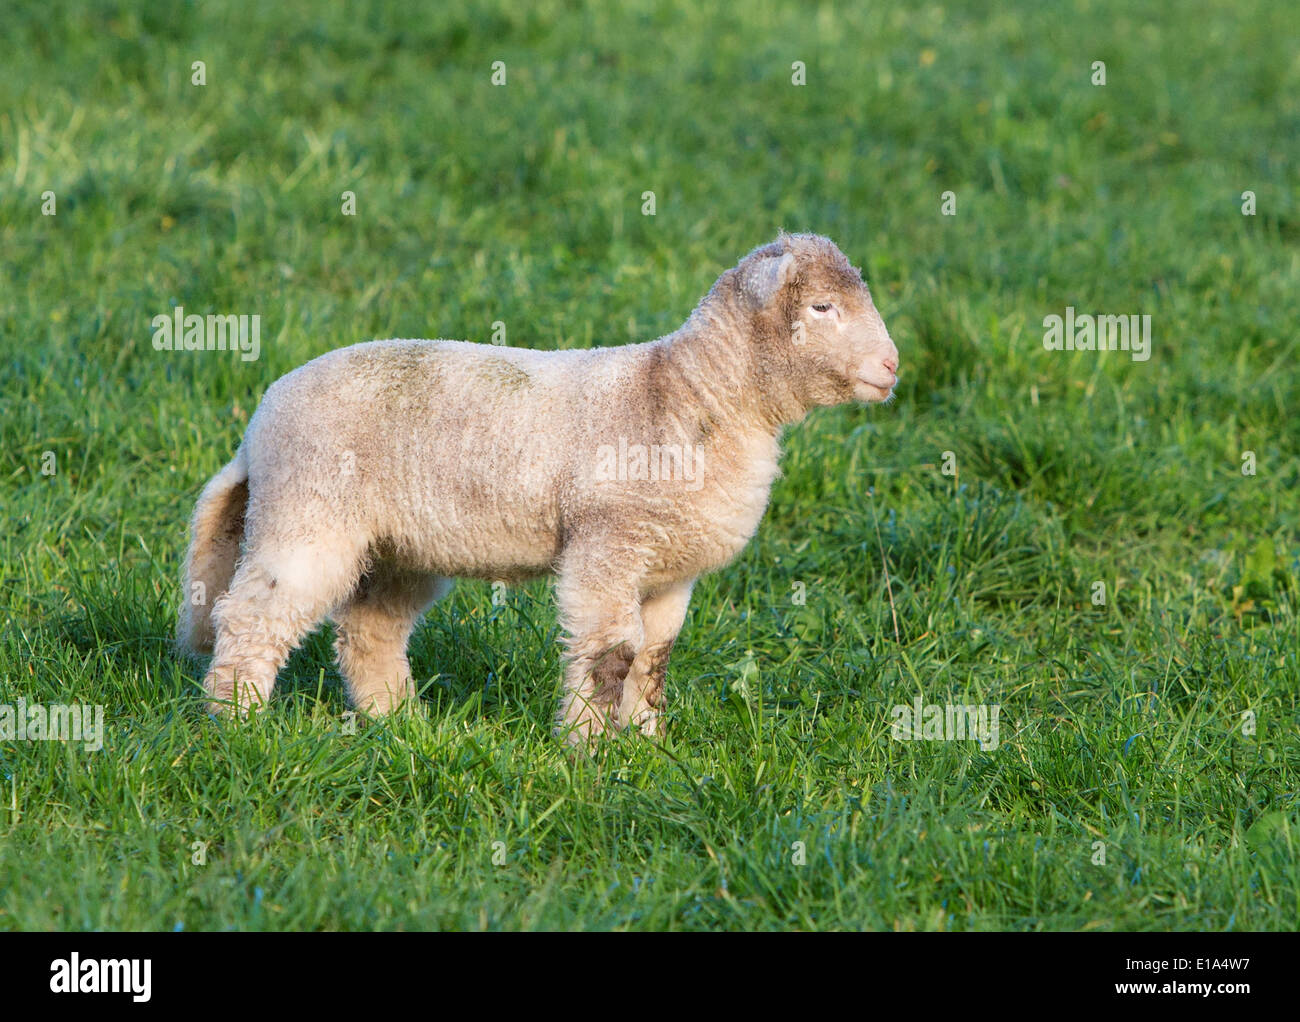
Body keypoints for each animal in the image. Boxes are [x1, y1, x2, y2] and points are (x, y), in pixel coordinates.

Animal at [177, 232, 900, 746]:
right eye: (822, 307)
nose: (893, 367)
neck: (692, 395)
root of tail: (257, 425)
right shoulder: (608, 546)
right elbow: (610, 654)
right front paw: (589, 750)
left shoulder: (669, 570)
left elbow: (654, 660)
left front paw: (648, 745)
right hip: (308, 513)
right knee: (251, 617)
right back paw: (236, 722)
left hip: (399, 545)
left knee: (370, 632)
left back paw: (402, 723)